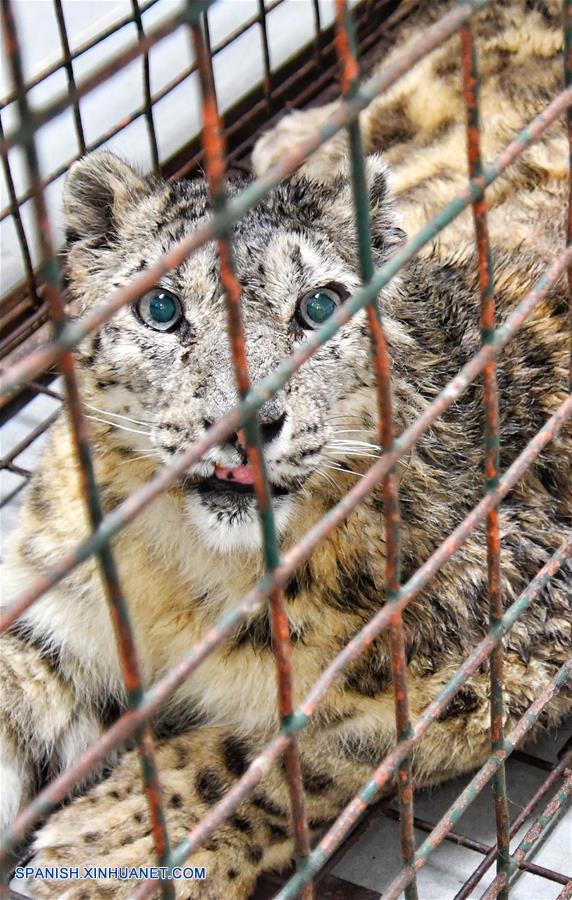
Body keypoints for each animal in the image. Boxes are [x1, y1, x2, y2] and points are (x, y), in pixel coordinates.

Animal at [1, 0, 570, 897]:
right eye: (161, 307)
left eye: (320, 304)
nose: (243, 422)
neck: (183, 581)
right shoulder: (55, 608)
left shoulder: (511, 638)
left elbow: (289, 749)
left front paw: (105, 846)